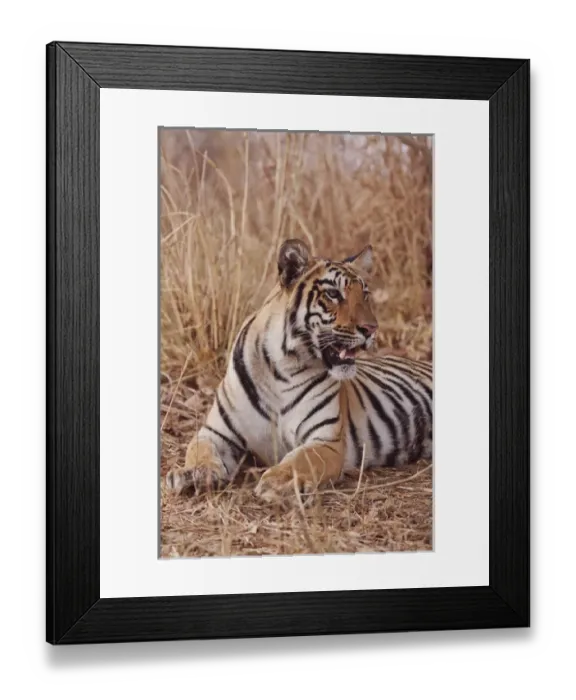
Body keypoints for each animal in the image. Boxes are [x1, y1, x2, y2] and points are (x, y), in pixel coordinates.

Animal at [165, 238, 432, 502]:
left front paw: (277, 482)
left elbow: (300, 460)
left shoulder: (325, 440)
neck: (281, 369)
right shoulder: (216, 433)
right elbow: (199, 451)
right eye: (333, 294)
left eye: (365, 294)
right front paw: (191, 474)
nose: (371, 329)